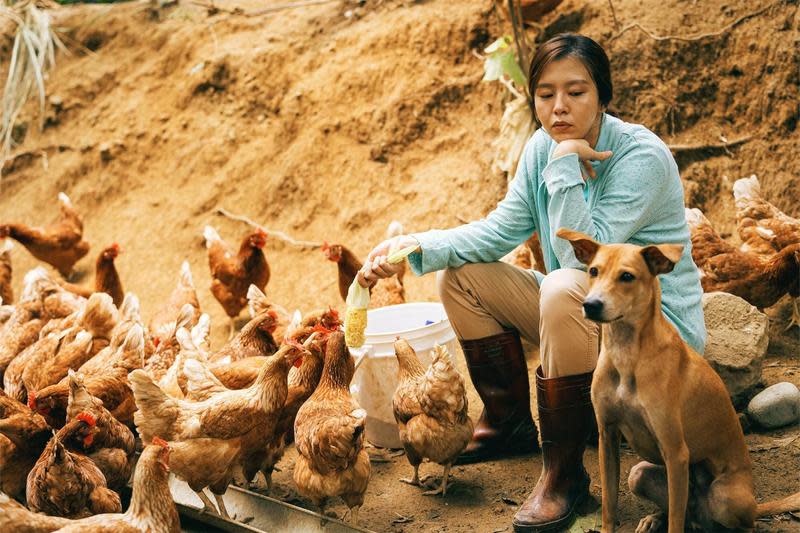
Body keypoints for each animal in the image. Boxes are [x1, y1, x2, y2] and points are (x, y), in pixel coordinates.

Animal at [556, 228, 800, 532]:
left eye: (627, 276)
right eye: (593, 271)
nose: (590, 305)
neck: (626, 353)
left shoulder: (676, 453)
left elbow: (674, 520)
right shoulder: (607, 438)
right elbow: (609, 508)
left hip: (725, 497)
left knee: (731, 522)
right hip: (639, 474)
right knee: (678, 509)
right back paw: (654, 519)